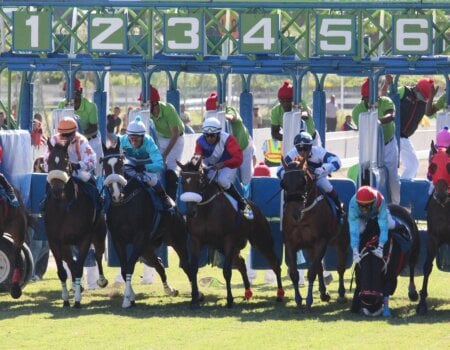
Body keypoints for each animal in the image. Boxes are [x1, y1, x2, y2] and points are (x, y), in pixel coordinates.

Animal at [44, 141, 108, 308]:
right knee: (70, 262)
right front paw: (66, 299)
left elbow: (79, 267)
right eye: (50, 161)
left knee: (98, 255)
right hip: (66, 244)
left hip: (99, 235)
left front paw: (78, 300)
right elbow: (63, 271)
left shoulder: (84, 239)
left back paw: (101, 280)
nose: (57, 190)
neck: (65, 206)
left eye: (66, 161)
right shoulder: (54, 241)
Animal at [102, 141, 193, 308]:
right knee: (159, 264)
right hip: (147, 249)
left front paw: (127, 299)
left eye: (120, 164)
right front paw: (131, 296)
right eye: (105, 165)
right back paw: (170, 290)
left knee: (186, 264)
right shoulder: (119, 240)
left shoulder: (140, 237)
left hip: (177, 239)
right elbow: (124, 268)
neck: (125, 202)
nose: (116, 194)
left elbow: (129, 266)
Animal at [177, 156, 284, 308]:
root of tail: (255, 207)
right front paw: (194, 300)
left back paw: (280, 294)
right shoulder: (195, 240)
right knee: (241, 263)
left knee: (274, 264)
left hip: (261, 240)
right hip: (225, 247)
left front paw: (229, 299)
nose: (191, 212)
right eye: (183, 182)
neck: (206, 210)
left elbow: (227, 271)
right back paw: (247, 293)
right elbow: (193, 269)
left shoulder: (228, 239)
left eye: (199, 181)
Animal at [282, 157, 348, 310]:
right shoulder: (290, 244)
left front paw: (308, 300)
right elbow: (294, 273)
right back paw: (324, 293)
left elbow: (311, 272)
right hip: (310, 248)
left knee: (340, 267)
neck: (303, 217)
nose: (295, 214)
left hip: (342, 242)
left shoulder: (321, 242)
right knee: (319, 267)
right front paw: (298, 299)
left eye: (303, 181)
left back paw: (341, 293)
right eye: (284, 183)